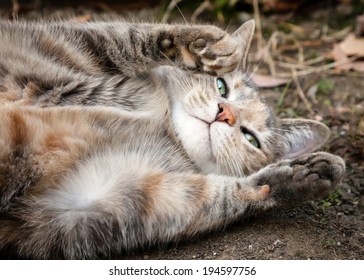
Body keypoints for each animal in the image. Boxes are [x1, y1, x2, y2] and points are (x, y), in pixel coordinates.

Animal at [0, 19, 344, 260]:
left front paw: (299, 177)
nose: (225, 115)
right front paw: (204, 44)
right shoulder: (47, 43)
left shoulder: (97, 206)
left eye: (251, 138)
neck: (164, 124)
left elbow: (216, 197)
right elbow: (122, 35)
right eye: (221, 86)